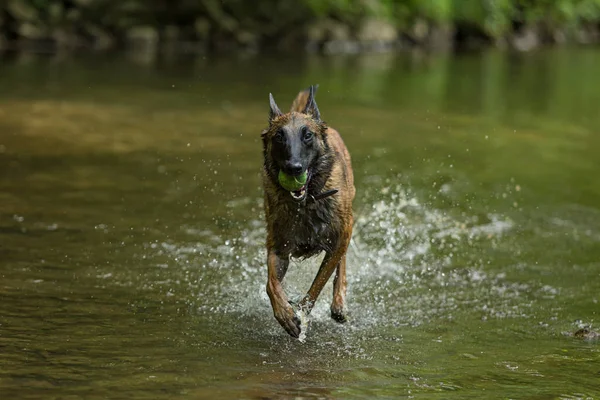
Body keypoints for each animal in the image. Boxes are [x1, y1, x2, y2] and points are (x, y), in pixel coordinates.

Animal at [260, 85, 354, 338]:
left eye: (308, 135)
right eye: (279, 136)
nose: (293, 168)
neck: (306, 202)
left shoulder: (339, 238)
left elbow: (319, 282)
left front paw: (302, 312)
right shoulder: (278, 247)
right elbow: (271, 284)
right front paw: (285, 314)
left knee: (342, 263)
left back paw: (339, 303)